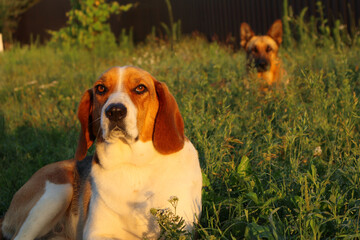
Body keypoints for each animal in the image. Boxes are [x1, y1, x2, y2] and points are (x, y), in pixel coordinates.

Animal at [0, 66, 202, 240]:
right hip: (57, 190)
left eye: (140, 88)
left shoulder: (180, 231)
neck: (133, 164)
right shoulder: (97, 233)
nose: (115, 111)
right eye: (101, 88)